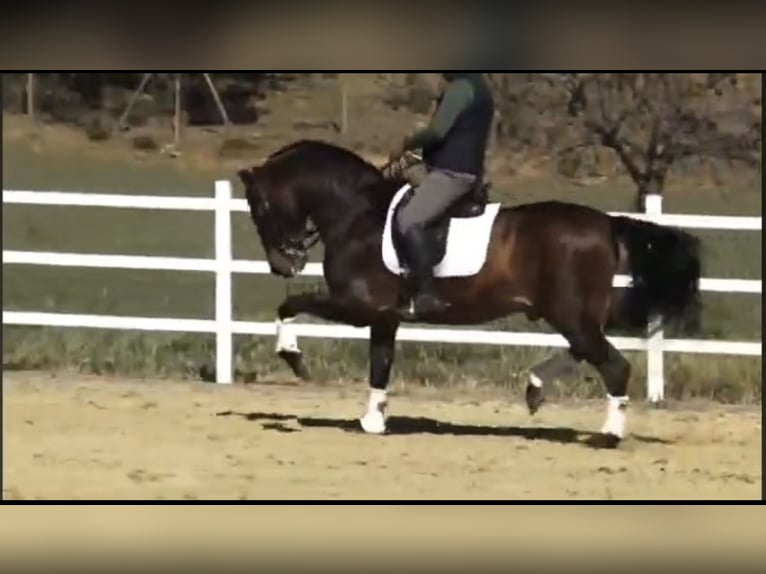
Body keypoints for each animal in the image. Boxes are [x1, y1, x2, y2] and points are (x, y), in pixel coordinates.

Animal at [238, 138, 704, 446]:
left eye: (259, 206)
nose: (282, 265)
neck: (357, 214)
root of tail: (606, 223)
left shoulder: (357, 306)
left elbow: (289, 305)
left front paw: (293, 358)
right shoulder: (385, 317)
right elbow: (380, 366)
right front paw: (373, 420)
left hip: (571, 313)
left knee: (613, 365)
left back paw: (607, 434)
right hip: (571, 313)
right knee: (586, 352)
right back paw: (536, 388)